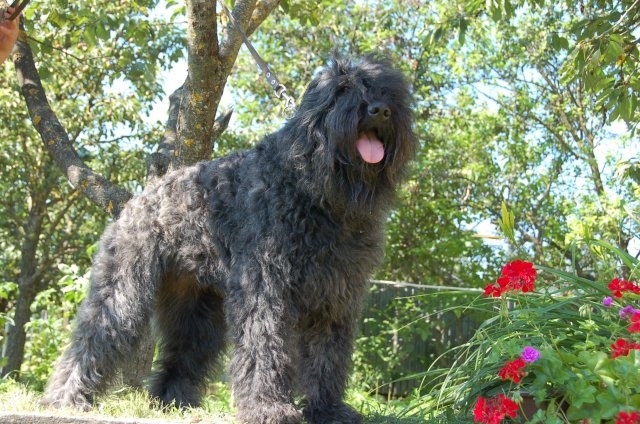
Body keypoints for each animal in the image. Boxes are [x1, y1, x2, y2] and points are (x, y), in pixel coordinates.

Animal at [42, 54, 418, 422]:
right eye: (341, 90)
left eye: (388, 91)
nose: (380, 110)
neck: (312, 186)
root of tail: (139, 200)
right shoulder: (265, 287)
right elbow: (264, 343)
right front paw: (269, 408)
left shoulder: (335, 295)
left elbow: (327, 355)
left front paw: (328, 410)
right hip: (124, 288)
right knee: (96, 334)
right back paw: (65, 398)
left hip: (197, 306)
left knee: (184, 350)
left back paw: (173, 401)